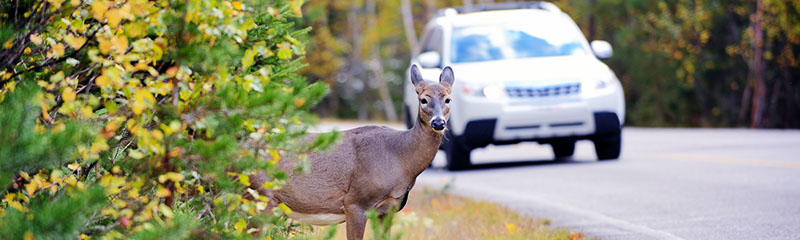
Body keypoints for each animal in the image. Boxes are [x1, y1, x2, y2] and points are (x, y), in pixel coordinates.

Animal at [250, 64, 456, 239]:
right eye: (423, 100)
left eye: (448, 99)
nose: (438, 123)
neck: (399, 159)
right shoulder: (355, 202)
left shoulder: (388, 209)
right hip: (260, 196)